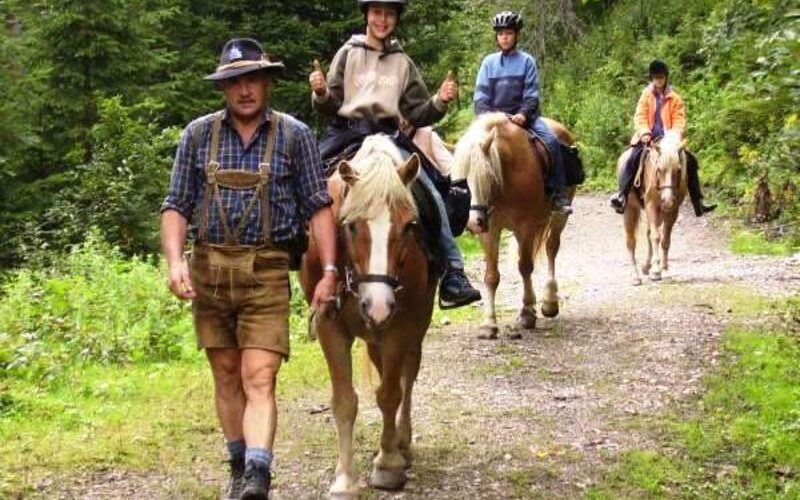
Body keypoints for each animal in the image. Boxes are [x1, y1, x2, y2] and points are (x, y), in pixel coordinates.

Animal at [300, 135, 437, 497]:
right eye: (350, 225)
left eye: (410, 225)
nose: (378, 305)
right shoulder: (330, 327)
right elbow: (344, 402)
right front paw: (345, 479)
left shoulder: (398, 328)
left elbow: (390, 394)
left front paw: (388, 465)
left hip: (413, 325)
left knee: (408, 375)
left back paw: (401, 445)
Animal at [452, 113, 577, 339]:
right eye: (460, 182)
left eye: (487, 177)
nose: (473, 222)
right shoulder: (490, 230)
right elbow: (491, 276)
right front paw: (489, 324)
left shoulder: (525, 226)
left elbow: (525, 267)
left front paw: (527, 312)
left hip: (558, 218)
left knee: (551, 249)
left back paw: (549, 302)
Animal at [617, 131, 688, 285]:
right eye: (659, 169)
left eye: (678, 170)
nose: (667, 200)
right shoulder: (651, 206)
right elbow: (656, 237)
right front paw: (656, 271)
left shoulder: (673, 210)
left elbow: (665, 239)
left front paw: (664, 269)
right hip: (630, 210)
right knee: (631, 242)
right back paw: (636, 276)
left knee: (649, 234)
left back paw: (645, 267)